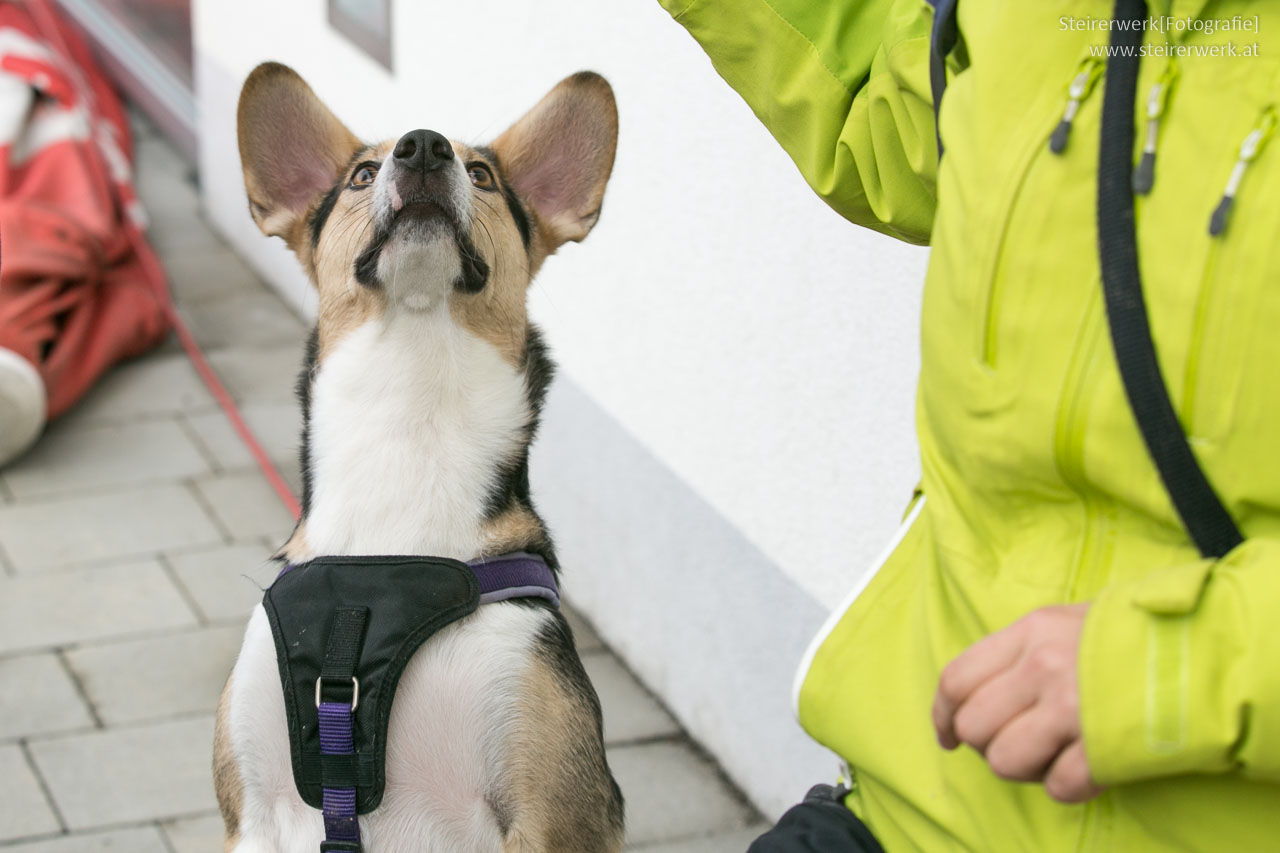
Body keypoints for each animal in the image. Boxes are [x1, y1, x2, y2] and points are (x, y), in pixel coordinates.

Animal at [215, 61, 624, 850]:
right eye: (361, 174)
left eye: (484, 174)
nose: (424, 148)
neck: (409, 412)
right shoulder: (249, 813)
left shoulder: (553, 813)